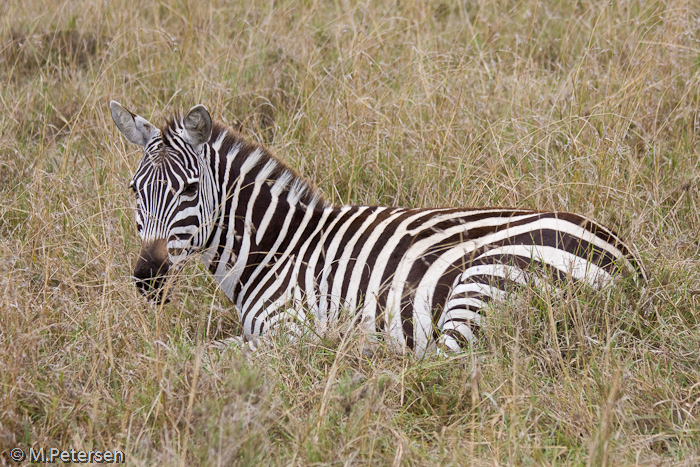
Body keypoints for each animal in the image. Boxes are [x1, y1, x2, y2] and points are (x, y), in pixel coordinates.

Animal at [110, 101, 652, 354]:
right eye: (135, 191)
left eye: (187, 191)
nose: (146, 278)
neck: (275, 248)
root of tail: (628, 263)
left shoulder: (290, 329)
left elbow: (207, 353)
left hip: (485, 282)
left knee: (439, 362)